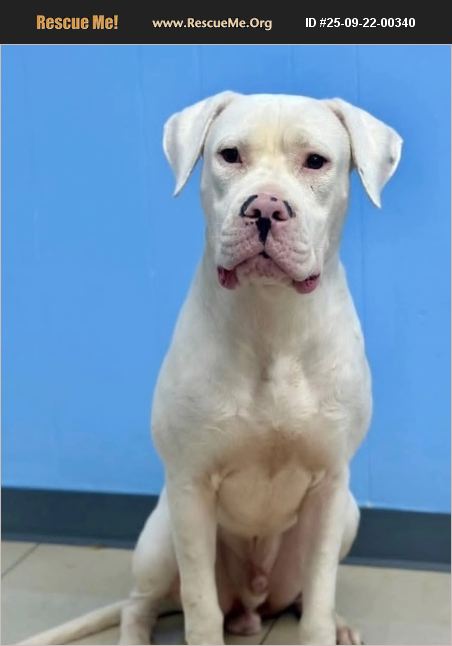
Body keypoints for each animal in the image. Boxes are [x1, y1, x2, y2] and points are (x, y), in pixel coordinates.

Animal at [19, 92, 402, 646]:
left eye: (315, 161)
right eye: (229, 155)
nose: (265, 207)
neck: (271, 321)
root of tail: (254, 602)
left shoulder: (330, 488)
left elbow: (318, 603)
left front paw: (326, 625)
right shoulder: (191, 485)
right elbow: (201, 610)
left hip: (345, 514)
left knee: (305, 594)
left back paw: (339, 625)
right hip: (161, 537)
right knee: (141, 604)